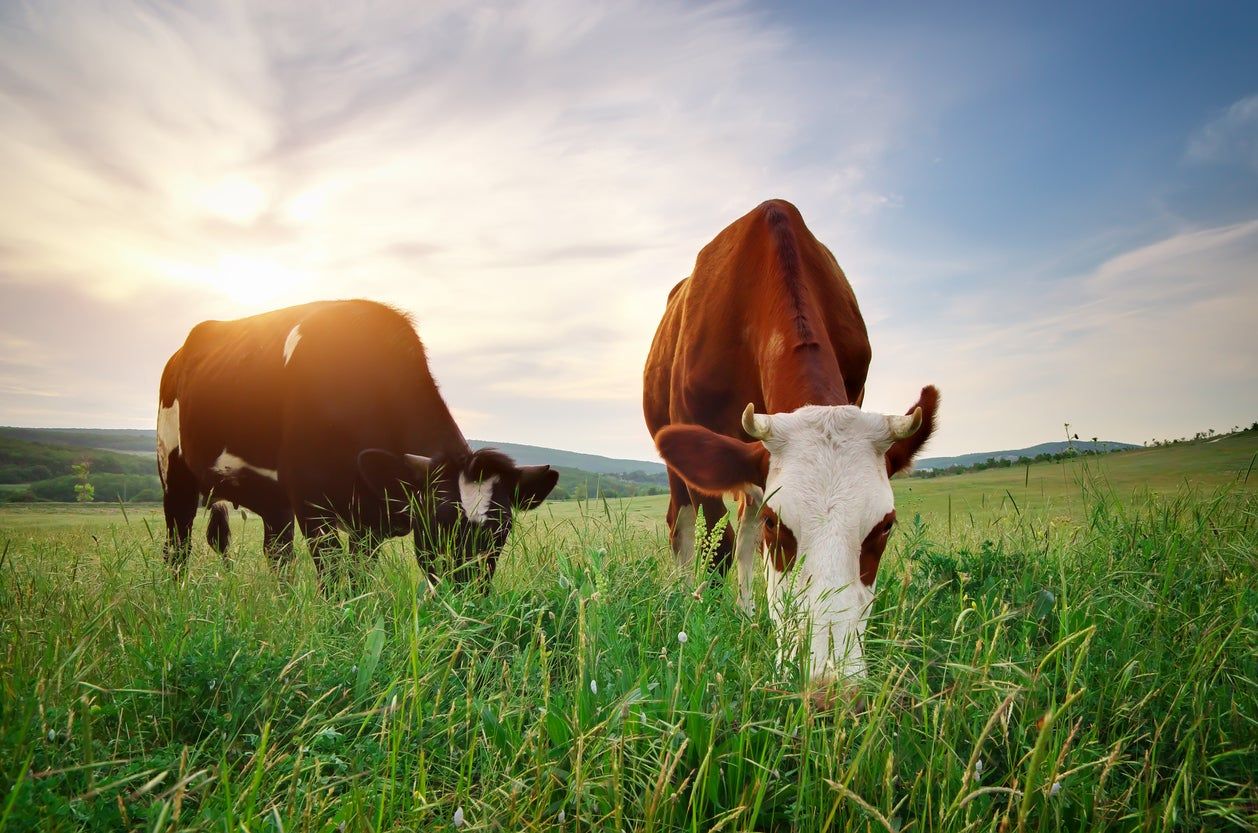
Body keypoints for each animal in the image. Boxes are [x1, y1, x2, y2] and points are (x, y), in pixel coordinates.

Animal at [154, 301, 558, 586]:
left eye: (501, 531)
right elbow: (334, 579)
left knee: (277, 555)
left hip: (272, 499)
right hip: (174, 471)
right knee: (178, 545)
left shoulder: (370, 520)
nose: (466, 598)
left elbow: (358, 577)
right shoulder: (312, 501)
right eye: (438, 523)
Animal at [649, 202, 935, 684]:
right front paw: (705, 624)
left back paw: (748, 615)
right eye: (777, 523)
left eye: (885, 527)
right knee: (684, 526)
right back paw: (687, 598)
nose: (828, 685)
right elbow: (718, 546)